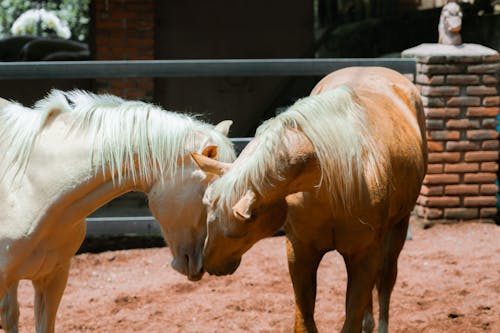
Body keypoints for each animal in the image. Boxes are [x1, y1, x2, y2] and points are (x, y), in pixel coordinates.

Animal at [193, 66, 428, 330]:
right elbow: (305, 321)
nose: (208, 265)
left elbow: (352, 318)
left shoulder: (365, 257)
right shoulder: (301, 254)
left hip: (398, 228)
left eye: (237, 232)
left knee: (386, 281)